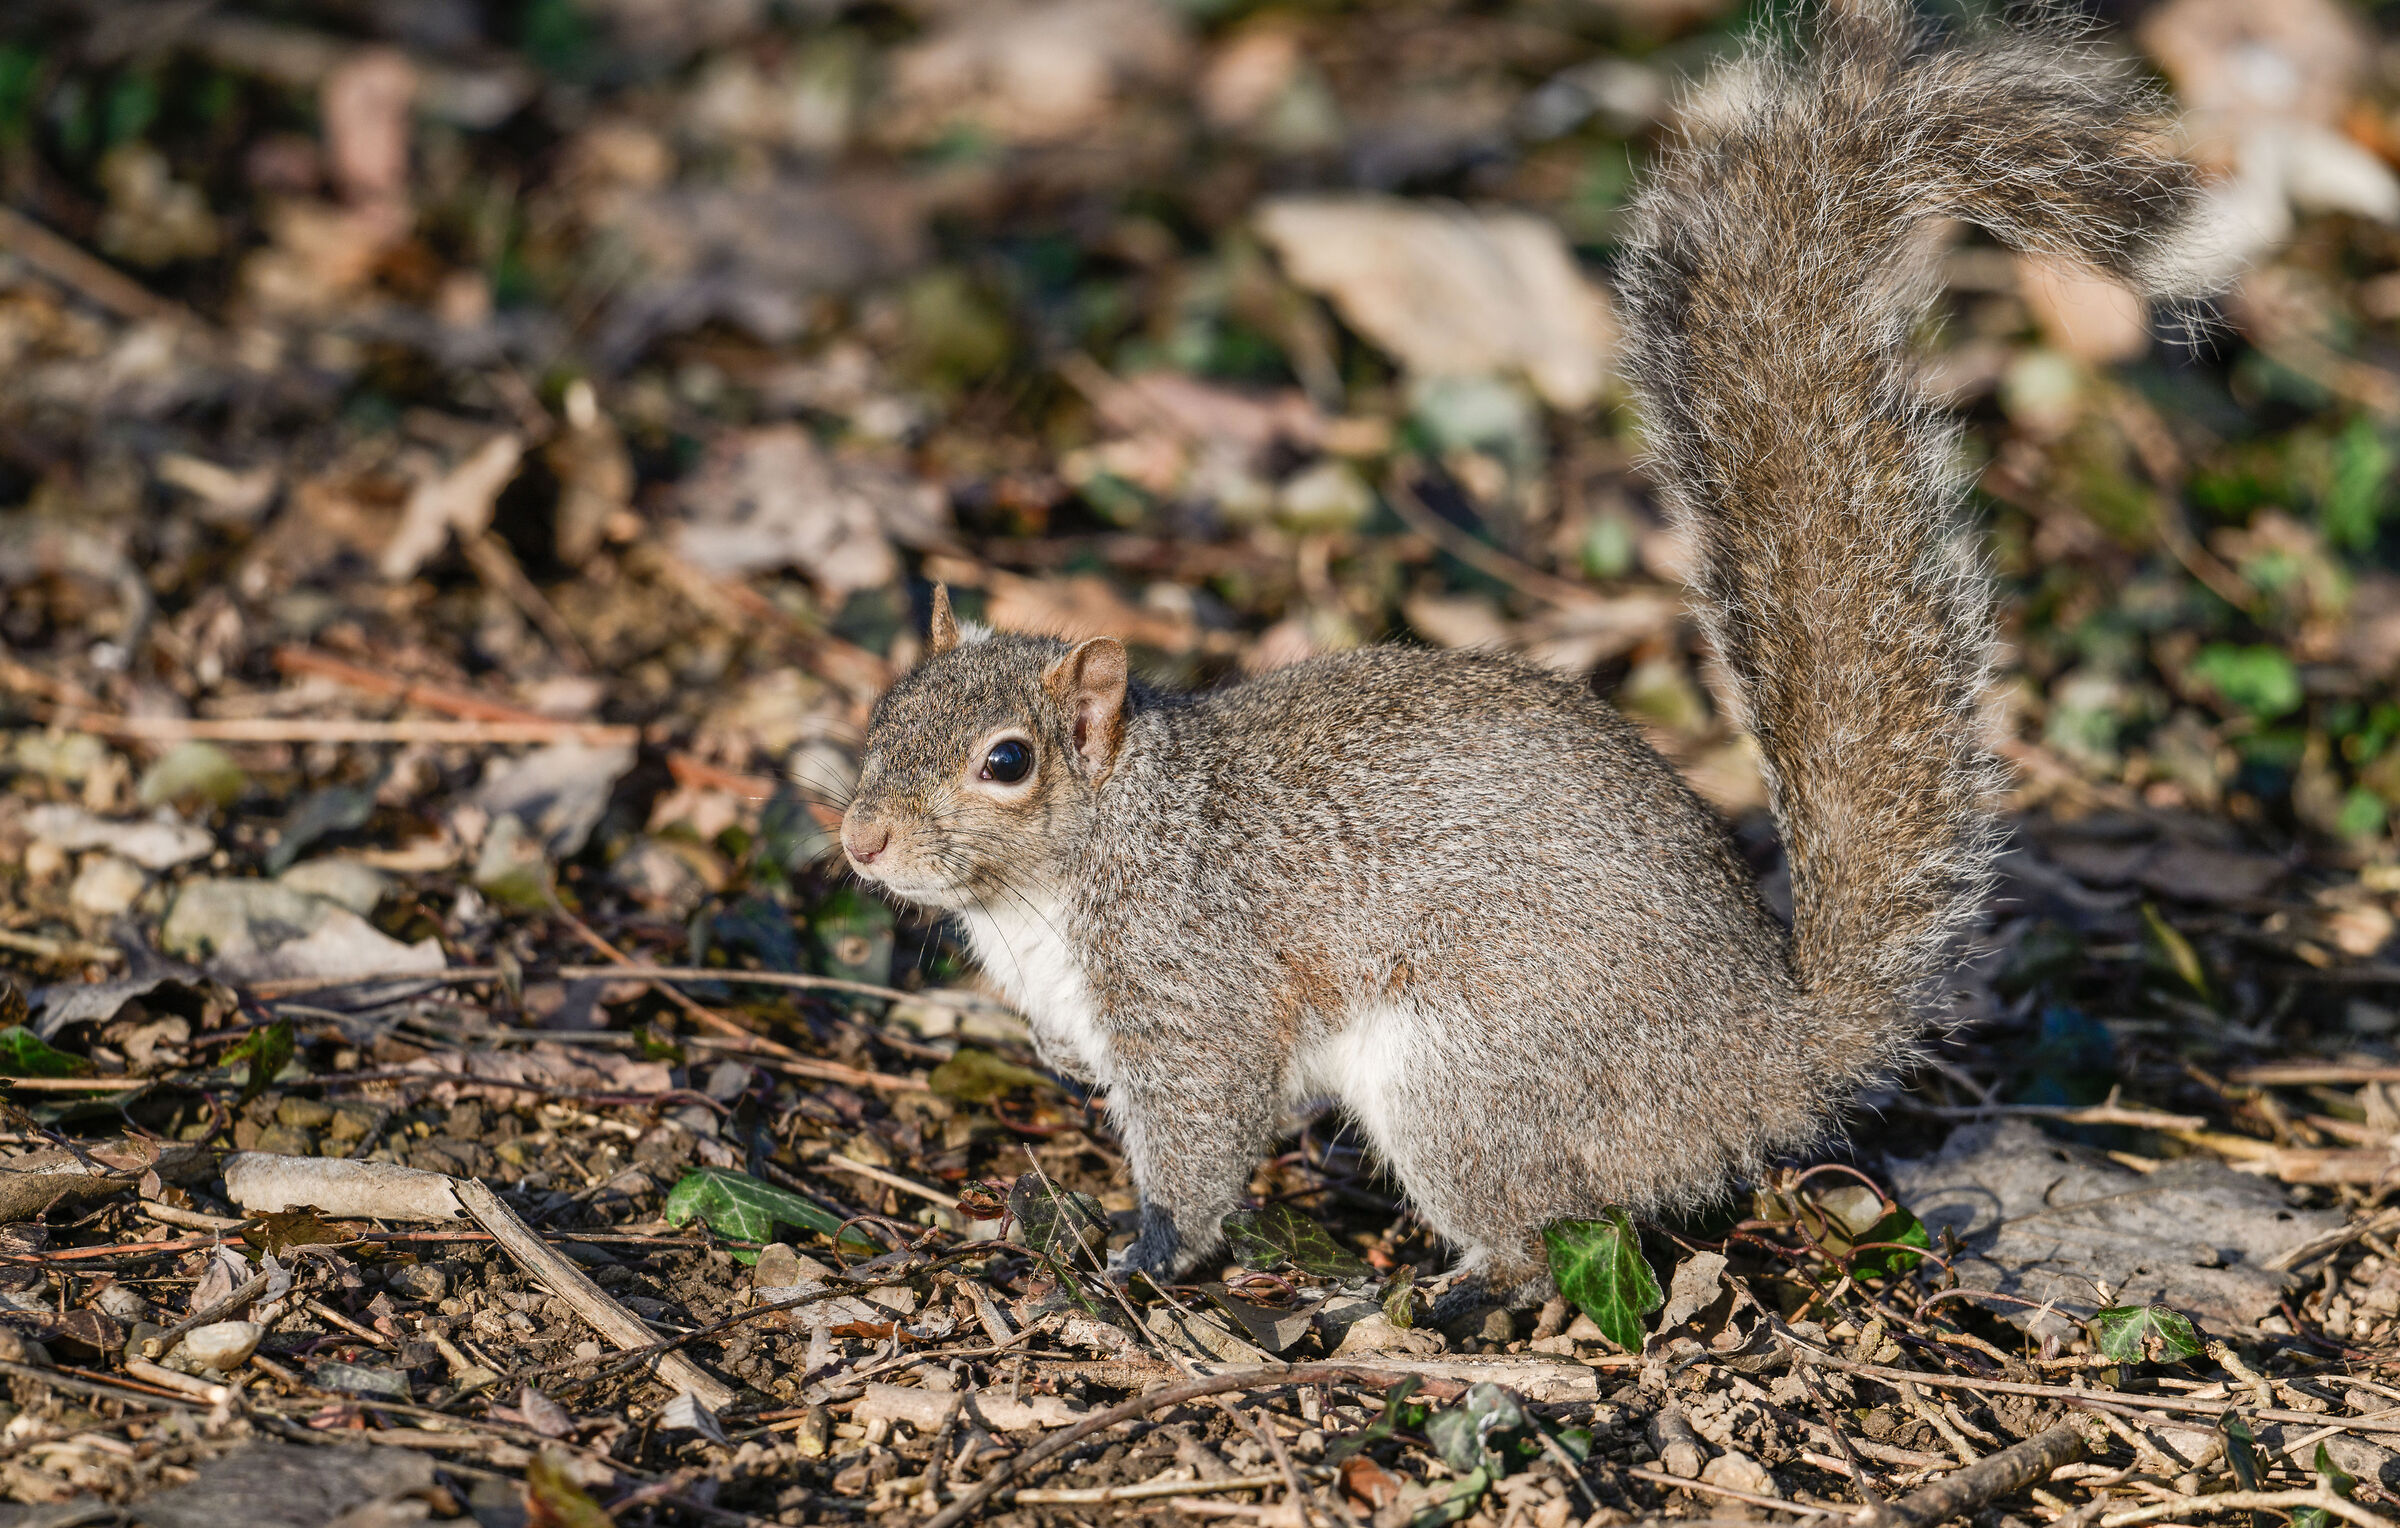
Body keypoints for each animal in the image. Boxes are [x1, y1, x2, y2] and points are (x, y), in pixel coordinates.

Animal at [837, 1, 2224, 1308]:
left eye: (1006, 762)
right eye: (882, 711)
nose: (859, 841)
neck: (1075, 863)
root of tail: (1756, 1061)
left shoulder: (1192, 984)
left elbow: (1202, 1134)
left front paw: (1148, 1254)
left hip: (1467, 1079)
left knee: (1538, 1242)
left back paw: (1430, 1299)